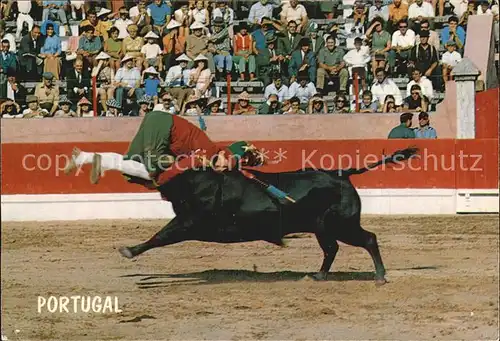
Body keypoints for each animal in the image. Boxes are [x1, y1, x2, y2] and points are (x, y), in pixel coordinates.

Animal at [118, 147, 418, 282]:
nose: (127, 166)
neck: (194, 179)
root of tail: (341, 173)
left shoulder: (189, 222)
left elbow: (160, 236)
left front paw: (129, 251)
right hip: (323, 228)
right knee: (331, 249)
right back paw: (318, 276)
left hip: (342, 224)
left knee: (368, 239)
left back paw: (379, 276)